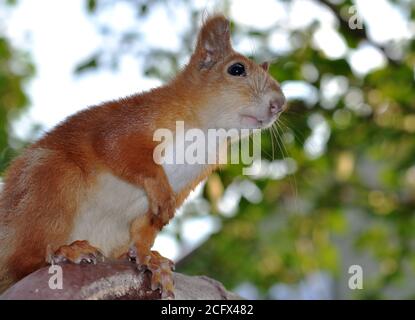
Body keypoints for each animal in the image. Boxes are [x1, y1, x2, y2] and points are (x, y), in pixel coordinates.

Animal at [0, 15, 286, 298]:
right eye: (236, 69)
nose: (280, 104)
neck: (208, 132)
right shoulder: (132, 122)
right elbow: (117, 148)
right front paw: (159, 189)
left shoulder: (189, 181)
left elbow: (147, 227)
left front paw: (148, 257)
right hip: (51, 182)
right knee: (23, 261)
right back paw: (64, 250)